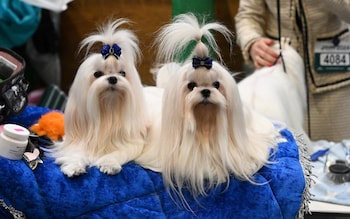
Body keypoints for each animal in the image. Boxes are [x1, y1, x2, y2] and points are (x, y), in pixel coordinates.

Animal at [53, 19, 150, 178]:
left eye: (122, 73)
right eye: (97, 74)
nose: (113, 78)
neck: (108, 110)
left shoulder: (131, 142)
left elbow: (119, 152)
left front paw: (109, 164)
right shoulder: (76, 140)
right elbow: (75, 152)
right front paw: (74, 166)